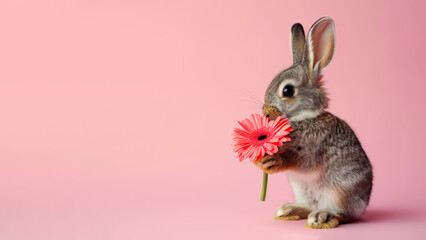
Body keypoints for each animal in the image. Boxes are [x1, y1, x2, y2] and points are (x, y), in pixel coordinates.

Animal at [253, 17, 372, 229]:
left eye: (287, 91)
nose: (266, 112)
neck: (304, 117)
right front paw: (262, 161)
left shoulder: (311, 151)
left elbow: (299, 161)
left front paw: (272, 162)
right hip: (302, 191)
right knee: (308, 207)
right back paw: (288, 211)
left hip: (340, 191)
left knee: (346, 215)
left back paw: (322, 217)